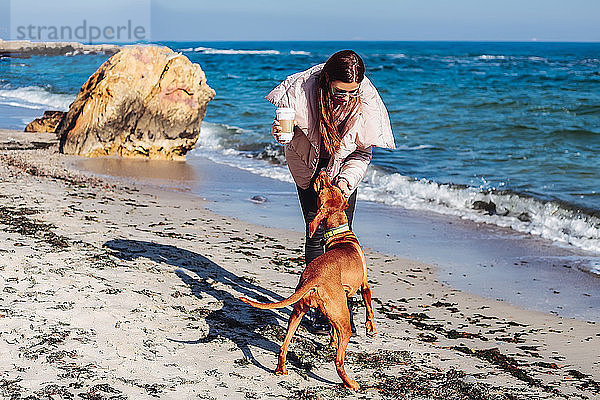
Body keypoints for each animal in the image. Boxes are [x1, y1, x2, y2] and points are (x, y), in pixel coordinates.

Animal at [239, 170, 376, 390]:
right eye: (324, 187)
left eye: (332, 186)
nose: (323, 172)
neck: (340, 237)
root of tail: (314, 277)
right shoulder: (364, 286)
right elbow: (370, 309)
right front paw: (371, 328)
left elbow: (332, 330)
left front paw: (332, 340)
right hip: (342, 321)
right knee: (338, 361)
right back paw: (350, 383)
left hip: (298, 312)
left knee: (284, 346)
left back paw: (281, 369)